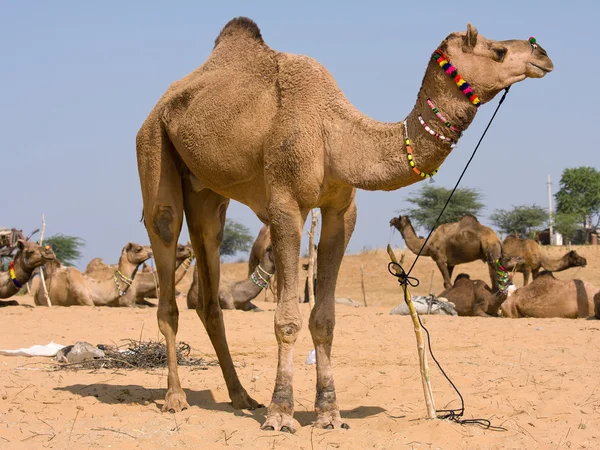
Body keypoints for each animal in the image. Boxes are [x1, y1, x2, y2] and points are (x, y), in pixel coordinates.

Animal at [136, 17, 552, 430]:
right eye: (498, 50)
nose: (542, 54)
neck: (335, 133)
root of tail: (161, 106)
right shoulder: (285, 204)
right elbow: (287, 319)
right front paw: (281, 413)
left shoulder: (341, 211)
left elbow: (325, 319)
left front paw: (329, 413)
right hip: (153, 149)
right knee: (166, 247)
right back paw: (175, 398)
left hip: (207, 193)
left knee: (210, 284)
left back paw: (241, 396)